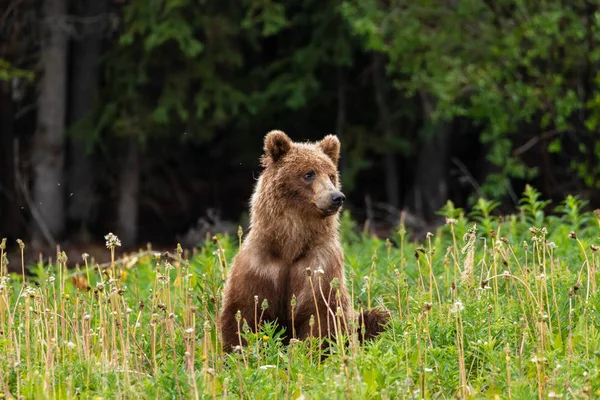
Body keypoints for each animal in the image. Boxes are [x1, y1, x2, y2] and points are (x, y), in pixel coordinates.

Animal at [220, 130, 390, 352]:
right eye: (309, 174)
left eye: (331, 175)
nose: (337, 197)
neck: (290, 245)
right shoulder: (259, 265)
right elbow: (242, 312)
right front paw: (239, 351)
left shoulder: (318, 264)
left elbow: (320, 314)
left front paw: (306, 351)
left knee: (379, 318)